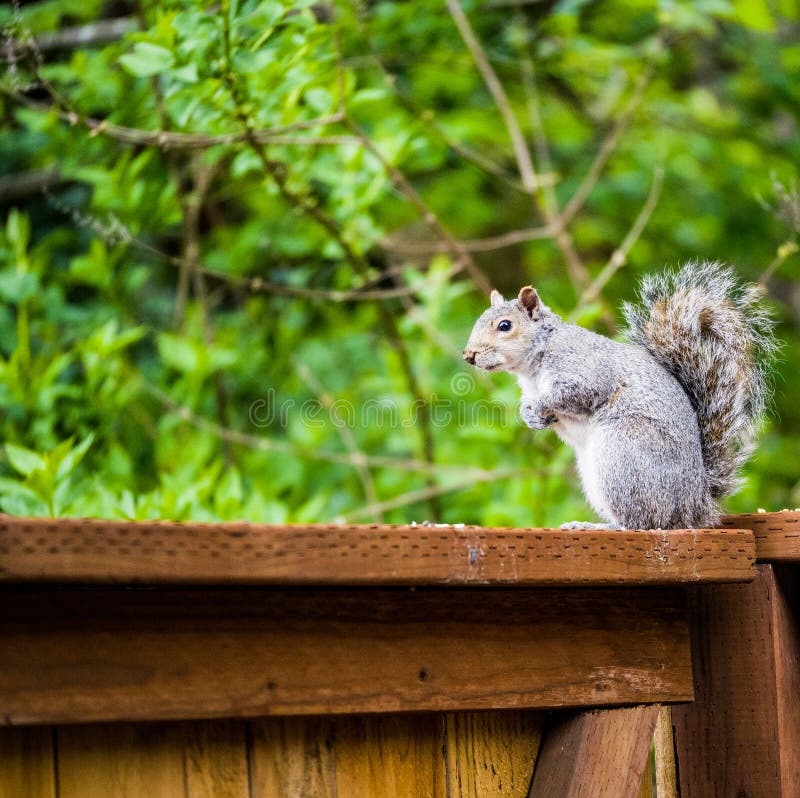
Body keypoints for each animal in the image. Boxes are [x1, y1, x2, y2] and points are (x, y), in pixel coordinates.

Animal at [463, 262, 777, 530]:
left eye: (505, 326)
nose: (469, 355)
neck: (533, 366)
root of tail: (693, 507)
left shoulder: (585, 371)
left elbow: (576, 394)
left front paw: (540, 405)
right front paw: (530, 416)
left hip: (624, 457)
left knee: (641, 523)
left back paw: (595, 526)